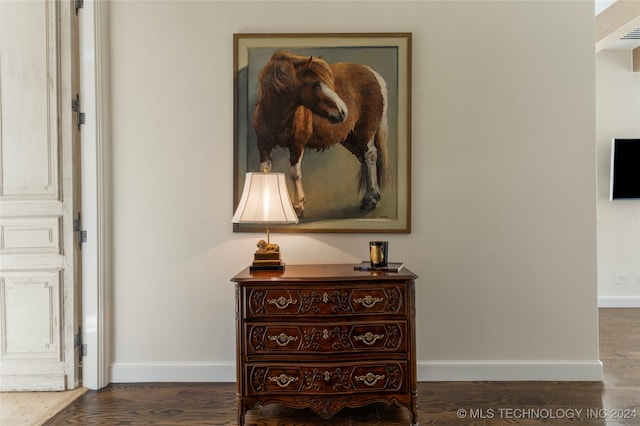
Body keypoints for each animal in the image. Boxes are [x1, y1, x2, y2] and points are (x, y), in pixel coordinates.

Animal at [252, 50, 388, 218]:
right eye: (316, 84)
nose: (343, 111)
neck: (275, 115)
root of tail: (373, 73)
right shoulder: (263, 145)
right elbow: (264, 172)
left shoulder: (297, 145)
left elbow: (295, 174)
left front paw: (298, 206)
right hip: (350, 138)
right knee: (363, 157)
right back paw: (369, 197)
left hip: (364, 132)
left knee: (370, 156)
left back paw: (371, 197)